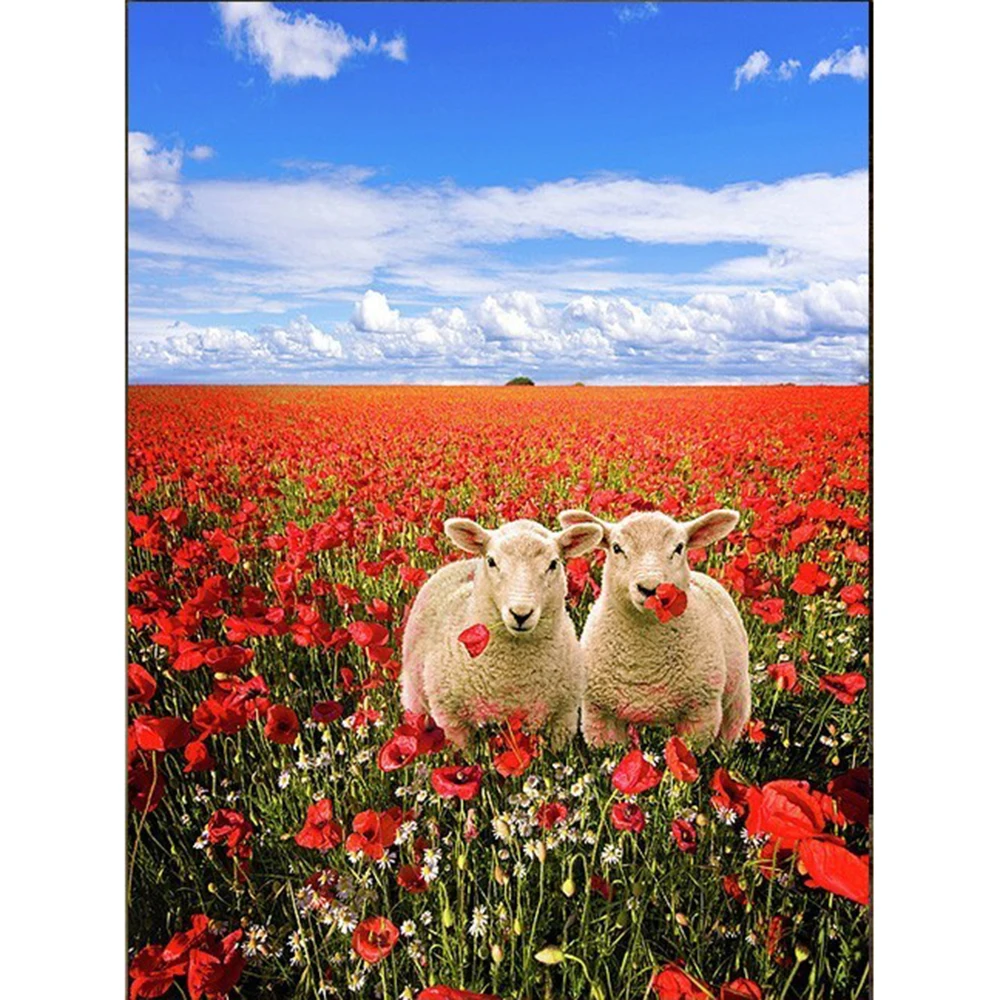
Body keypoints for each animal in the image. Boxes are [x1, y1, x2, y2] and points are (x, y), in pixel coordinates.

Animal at [401, 517, 604, 749]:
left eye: (553, 564)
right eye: (491, 561)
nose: (521, 614)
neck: (513, 675)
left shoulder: (564, 716)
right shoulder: (452, 720)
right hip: (414, 695)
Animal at [557, 508, 750, 748]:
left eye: (679, 547)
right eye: (617, 548)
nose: (650, 588)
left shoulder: (700, 715)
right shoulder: (599, 716)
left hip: (738, 697)